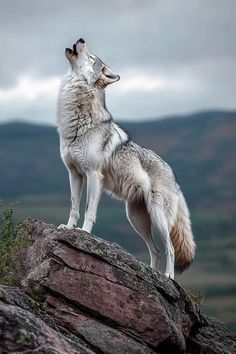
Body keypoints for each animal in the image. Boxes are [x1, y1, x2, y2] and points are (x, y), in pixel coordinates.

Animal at [57, 37, 195, 278]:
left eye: (92, 57)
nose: (81, 39)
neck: (77, 122)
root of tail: (174, 175)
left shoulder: (93, 175)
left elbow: (89, 210)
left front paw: (84, 233)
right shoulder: (74, 174)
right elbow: (74, 206)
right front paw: (68, 228)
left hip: (157, 217)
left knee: (169, 248)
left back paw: (168, 276)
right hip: (136, 219)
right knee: (155, 250)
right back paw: (152, 274)